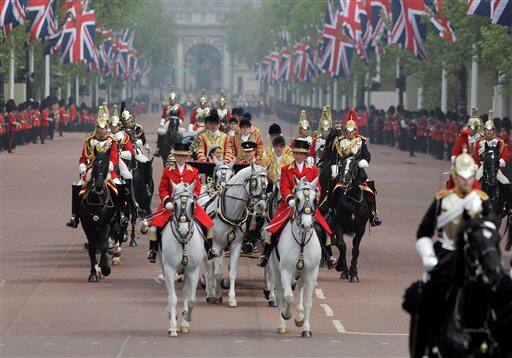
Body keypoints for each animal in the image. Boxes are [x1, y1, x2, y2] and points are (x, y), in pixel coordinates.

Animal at [78, 150, 116, 282]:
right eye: (94, 164)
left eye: (106, 164)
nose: (99, 185)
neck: (97, 201)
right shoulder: (87, 225)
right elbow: (92, 248)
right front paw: (93, 273)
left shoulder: (106, 224)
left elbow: (103, 245)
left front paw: (105, 268)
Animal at [162, 183, 206, 338]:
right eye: (174, 204)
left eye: (192, 204)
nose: (183, 230)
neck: (182, 241)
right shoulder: (169, 269)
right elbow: (173, 298)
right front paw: (173, 327)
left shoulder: (193, 270)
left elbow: (192, 299)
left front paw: (186, 318)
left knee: (186, 292)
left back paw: (184, 322)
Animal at [206, 165, 268, 308]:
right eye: (254, 182)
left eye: (267, 184)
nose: (262, 206)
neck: (229, 212)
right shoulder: (216, 245)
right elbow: (217, 272)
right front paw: (217, 295)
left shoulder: (235, 245)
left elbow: (232, 272)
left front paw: (232, 298)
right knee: (208, 268)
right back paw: (209, 292)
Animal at [268, 178, 320, 338]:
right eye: (297, 199)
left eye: (315, 199)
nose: (306, 225)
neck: (302, 241)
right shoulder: (285, 271)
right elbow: (288, 297)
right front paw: (286, 314)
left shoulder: (311, 273)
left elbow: (308, 301)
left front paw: (306, 328)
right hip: (276, 270)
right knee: (280, 295)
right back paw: (282, 324)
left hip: (302, 274)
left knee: (301, 289)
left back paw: (299, 316)